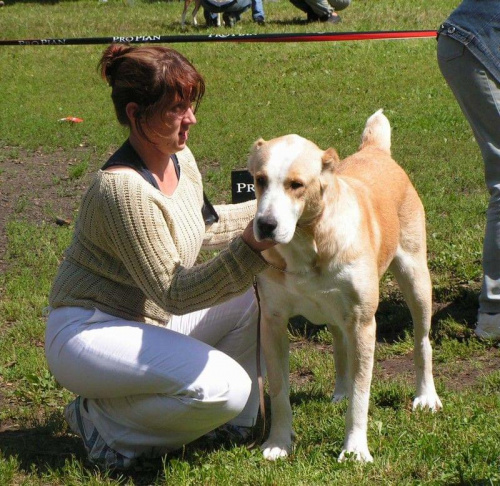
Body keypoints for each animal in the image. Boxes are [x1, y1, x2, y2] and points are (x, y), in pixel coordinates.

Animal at [246, 110, 442, 464]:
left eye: (296, 185)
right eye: (259, 180)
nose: (265, 225)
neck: (308, 241)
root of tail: (375, 151)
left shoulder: (364, 323)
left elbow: (361, 395)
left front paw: (355, 449)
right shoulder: (272, 323)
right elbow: (279, 392)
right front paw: (278, 443)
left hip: (416, 280)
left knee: (422, 342)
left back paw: (426, 396)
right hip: (336, 313)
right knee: (339, 345)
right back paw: (339, 391)